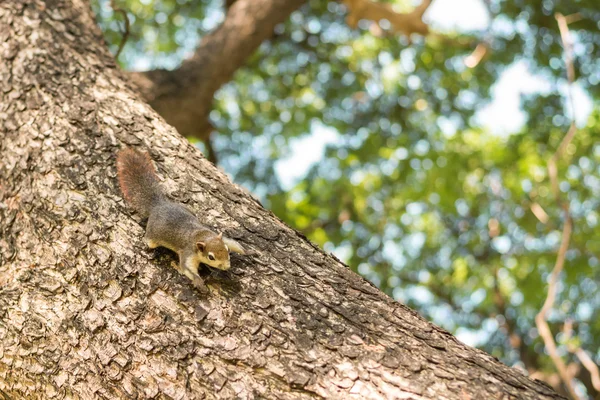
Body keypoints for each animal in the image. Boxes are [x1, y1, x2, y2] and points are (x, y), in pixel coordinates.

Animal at [117, 148, 244, 290]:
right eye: (211, 257)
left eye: (226, 249)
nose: (227, 266)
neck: (201, 236)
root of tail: (159, 205)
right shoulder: (188, 253)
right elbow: (187, 268)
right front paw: (199, 282)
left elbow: (230, 241)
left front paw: (246, 251)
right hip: (152, 236)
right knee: (149, 241)